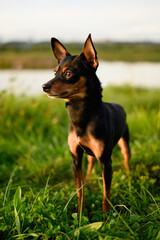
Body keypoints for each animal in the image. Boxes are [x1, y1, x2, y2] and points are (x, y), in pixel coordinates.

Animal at [42, 34, 130, 213]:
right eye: (55, 72)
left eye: (69, 73)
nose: (44, 86)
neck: (81, 114)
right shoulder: (76, 158)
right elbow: (79, 190)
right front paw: (81, 213)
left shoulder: (106, 161)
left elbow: (106, 194)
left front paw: (106, 217)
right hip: (89, 155)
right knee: (89, 165)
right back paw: (88, 180)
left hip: (125, 143)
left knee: (126, 159)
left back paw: (131, 179)